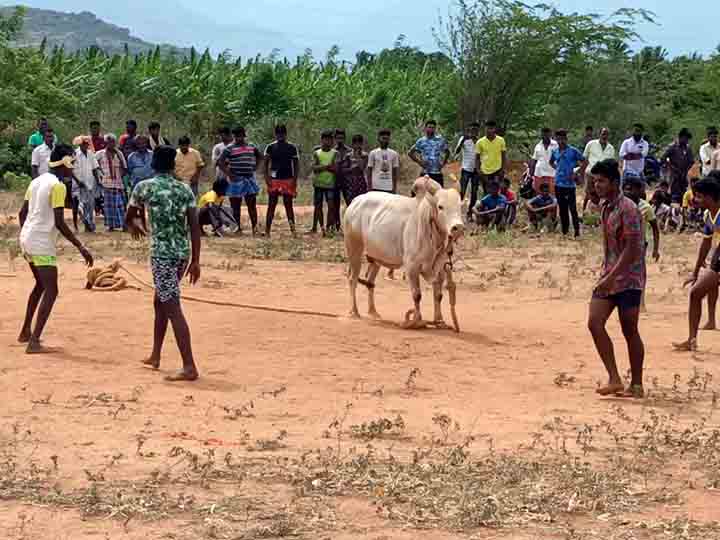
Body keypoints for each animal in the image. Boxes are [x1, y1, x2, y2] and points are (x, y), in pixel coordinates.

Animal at [344, 177, 466, 332]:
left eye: (459, 207)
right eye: (440, 207)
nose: (458, 228)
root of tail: (356, 201)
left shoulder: (440, 269)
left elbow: (438, 295)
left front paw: (439, 321)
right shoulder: (412, 267)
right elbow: (417, 295)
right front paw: (417, 321)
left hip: (376, 258)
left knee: (370, 283)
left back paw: (373, 312)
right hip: (354, 248)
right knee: (352, 279)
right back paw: (354, 312)